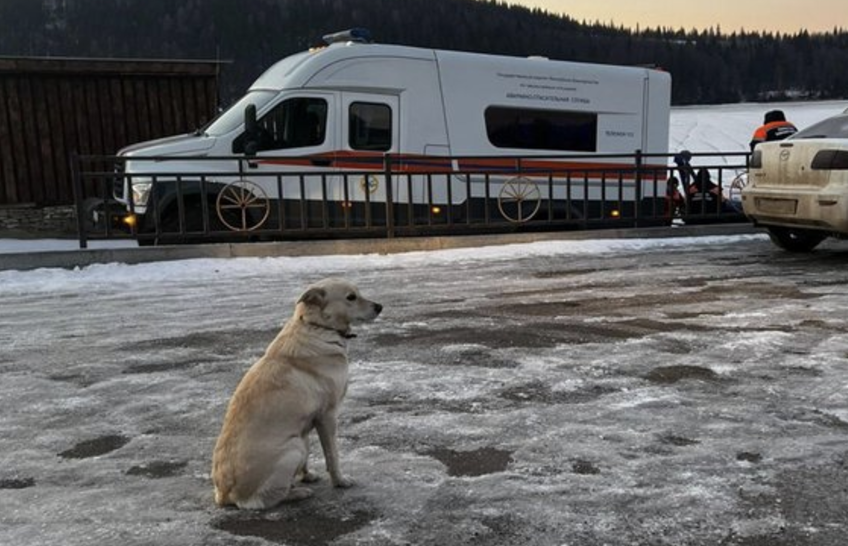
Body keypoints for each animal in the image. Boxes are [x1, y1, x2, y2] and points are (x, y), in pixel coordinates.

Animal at [212, 278, 382, 509]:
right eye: (351, 297)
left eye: (358, 293)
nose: (380, 307)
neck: (318, 327)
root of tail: (224, 495)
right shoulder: (328, 416)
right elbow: (333, 455)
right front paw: (339, 481)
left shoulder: (307, 423)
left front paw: (307, 475)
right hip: (294, 448)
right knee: (264, 499)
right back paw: (297, 493)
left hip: (299, 441)